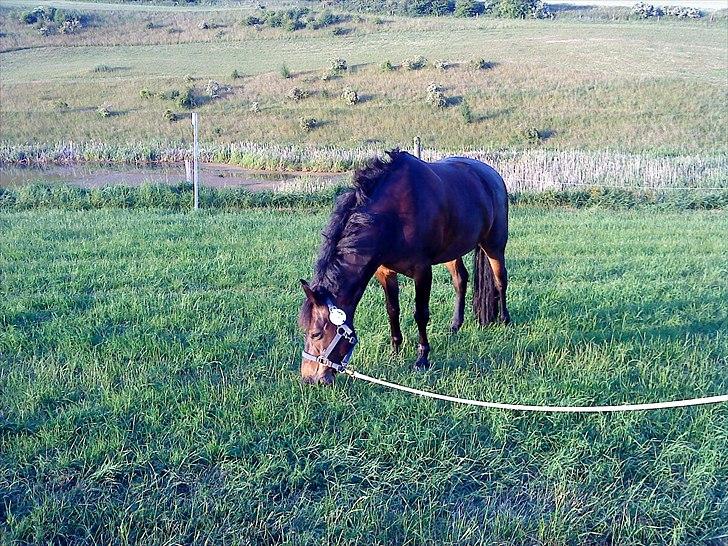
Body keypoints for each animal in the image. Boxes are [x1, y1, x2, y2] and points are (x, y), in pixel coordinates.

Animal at [298, 149, 510, 382]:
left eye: (316, 334)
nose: (309, 378)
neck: (394, 216)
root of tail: (492, 175)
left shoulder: (422, 271)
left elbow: (421, 314)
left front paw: (422, 359)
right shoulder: (385, 271)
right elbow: (392, 310)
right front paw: (395, 351)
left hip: (494, 245)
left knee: (501, 280)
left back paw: (504, 319)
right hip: (452, 251)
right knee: (460, 281)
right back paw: (455, 325)